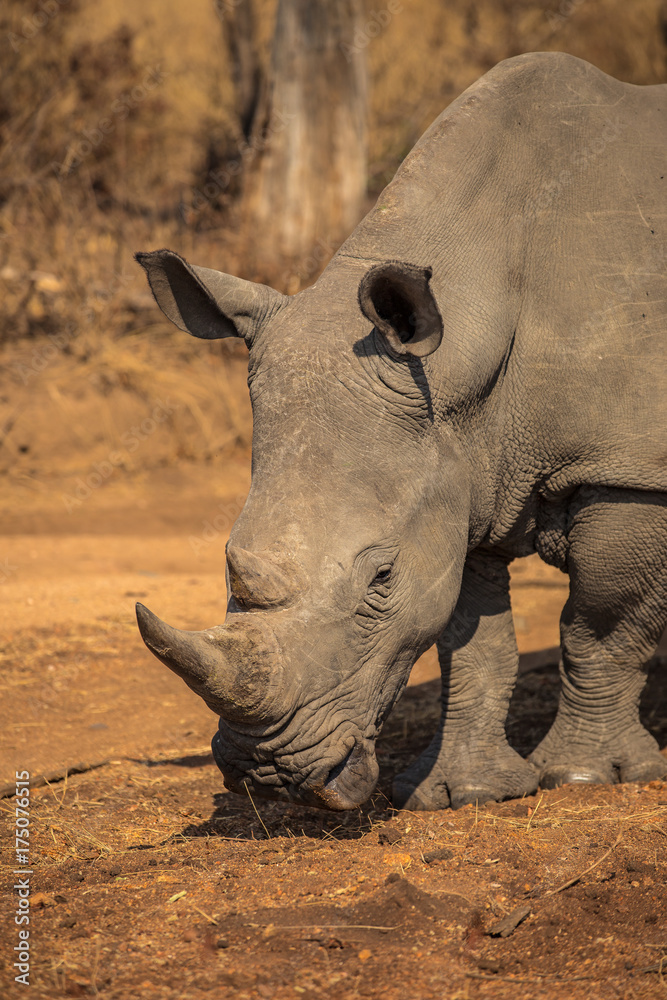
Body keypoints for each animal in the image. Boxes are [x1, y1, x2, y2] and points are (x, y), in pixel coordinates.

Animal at [135, 52, 667, 811]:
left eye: (380, 577)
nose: (270, 776)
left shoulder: (627, 467)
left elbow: (598, 625)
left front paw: (587, 777)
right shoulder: (459, 460)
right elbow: (471, 639)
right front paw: (462, 794)